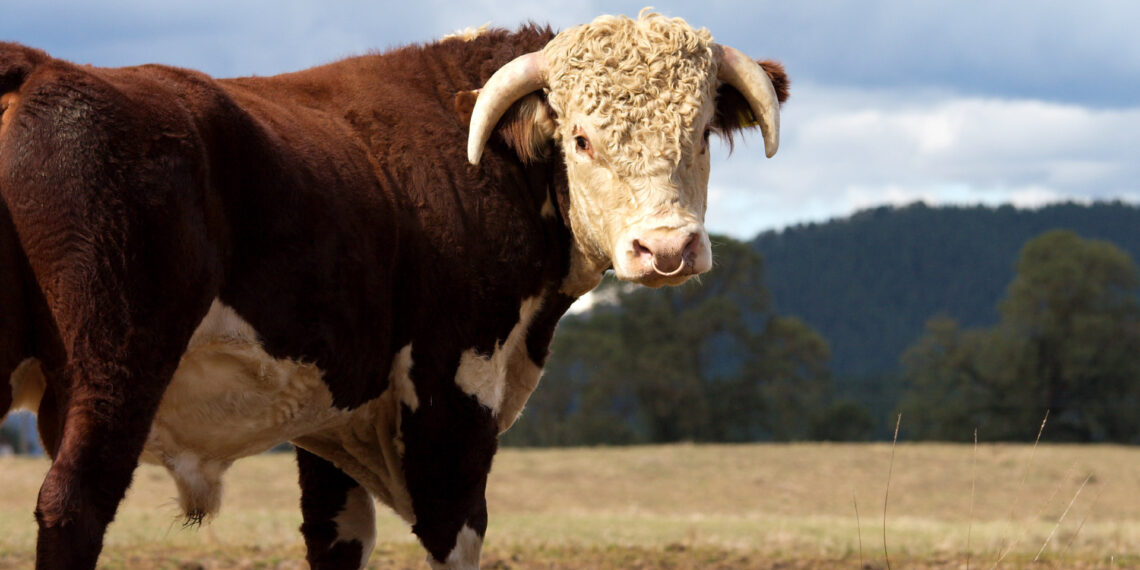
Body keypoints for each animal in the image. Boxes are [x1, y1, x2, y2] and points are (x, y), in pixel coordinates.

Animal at [0, 10, 788, 570]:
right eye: (582, 140)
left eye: (700, 136)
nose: (667, 250)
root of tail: (41, 69)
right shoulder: (451, 392)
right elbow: (454, 532)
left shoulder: (332, 420)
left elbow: (338, 536)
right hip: (116, 369)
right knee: (72, 506)